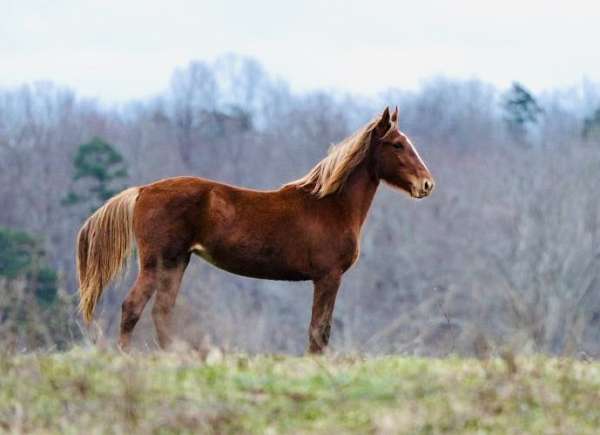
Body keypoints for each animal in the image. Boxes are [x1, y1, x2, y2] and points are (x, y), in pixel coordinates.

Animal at [77, 108, 436, 354]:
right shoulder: (328, 277)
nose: (427, 184)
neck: (330, 205)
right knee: (132, 307)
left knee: (162, 312)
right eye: (397, 145)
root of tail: (142, 191)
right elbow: (319, 331)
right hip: (157, 263)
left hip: (176, 263)